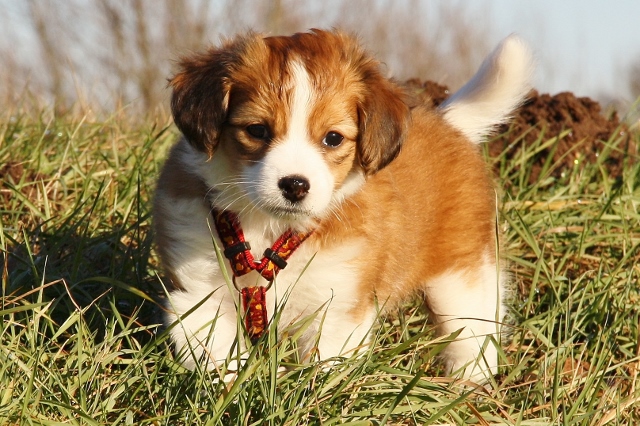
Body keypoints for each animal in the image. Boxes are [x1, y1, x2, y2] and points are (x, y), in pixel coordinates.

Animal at [154, 29, 533, 382]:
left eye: (333, 138)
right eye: (257, 130)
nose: (294, 184)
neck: (271, 231)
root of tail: (448, 123)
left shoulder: (337, 307)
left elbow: (324, 368)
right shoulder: (199, 297)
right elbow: (218, 359)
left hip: (462, 279)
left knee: (472, 338)